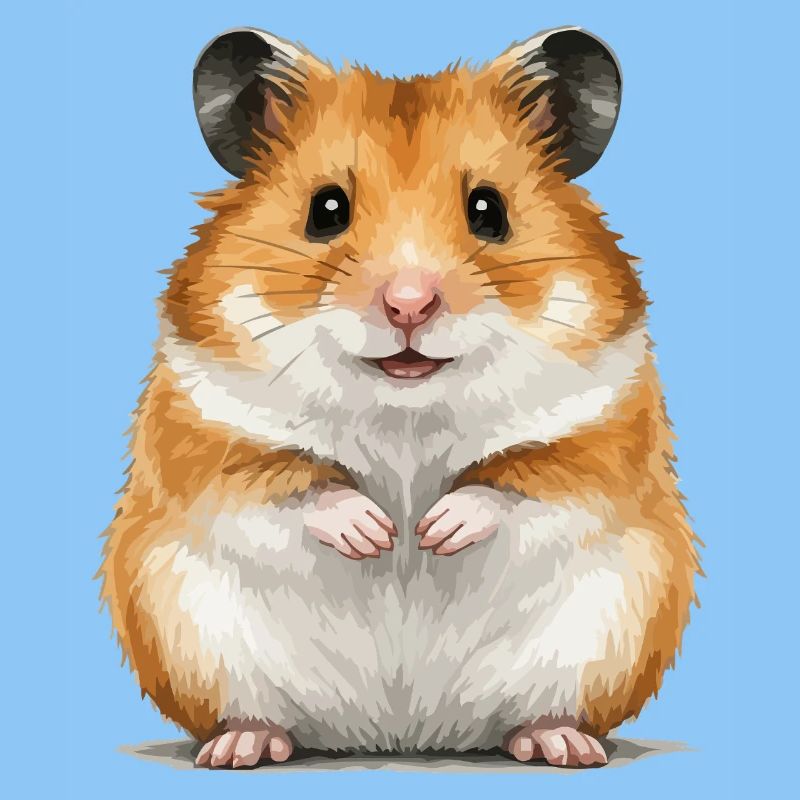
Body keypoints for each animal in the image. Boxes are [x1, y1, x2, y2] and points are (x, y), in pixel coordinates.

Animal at [99, 26, 700, 769]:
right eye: (326, 209)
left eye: (489, 211)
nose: (409, 305)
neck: (405, 408)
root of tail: (403, 735)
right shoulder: (205, 428)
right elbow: (287, 481)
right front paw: (378, 534)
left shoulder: (601, 432)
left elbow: (522, 480)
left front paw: (432, 531)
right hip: (191, 636)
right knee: (257, 715)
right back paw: (239, 748)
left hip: (607, 633)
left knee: (542, 712)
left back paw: (562, 745)